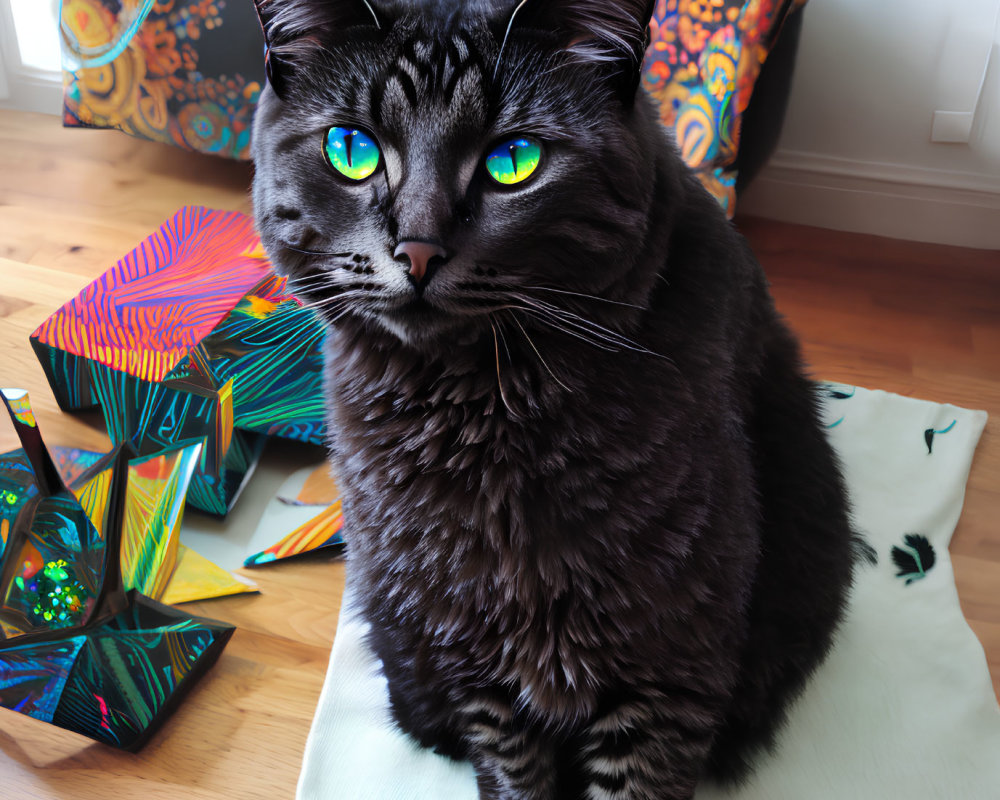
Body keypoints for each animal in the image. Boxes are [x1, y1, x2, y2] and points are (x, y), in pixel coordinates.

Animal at [248, 3, 860, 796]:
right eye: (350, 151)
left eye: (515, 161)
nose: (417, 249)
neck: (484, 415)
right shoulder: (474, 656)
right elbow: (509, 762)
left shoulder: (672, 666)